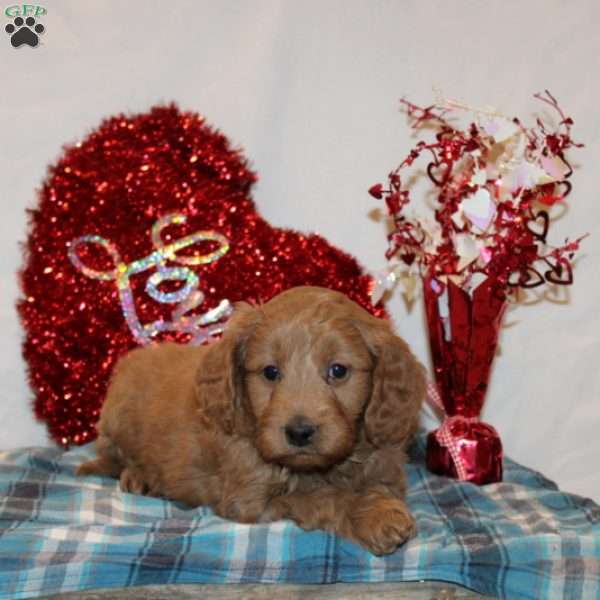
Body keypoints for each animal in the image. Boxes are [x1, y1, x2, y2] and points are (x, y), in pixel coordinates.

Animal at [78, 286, 426, 552]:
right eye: (270, 372)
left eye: (338, 370)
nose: (299, 432)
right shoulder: (250, 498)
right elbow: (321, 497)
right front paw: (377, 518)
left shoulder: (386, 470)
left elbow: (370, 486)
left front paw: (378, 506)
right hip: (115, 418)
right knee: (112, 458)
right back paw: (139, 477)